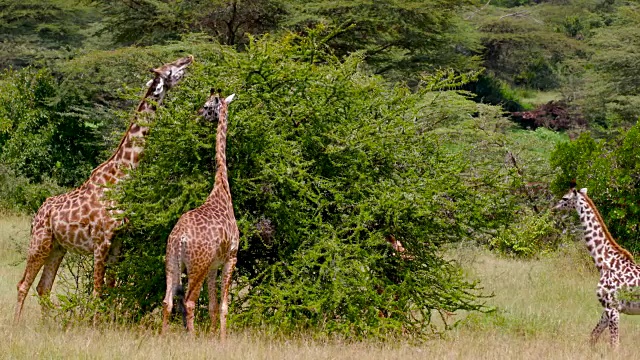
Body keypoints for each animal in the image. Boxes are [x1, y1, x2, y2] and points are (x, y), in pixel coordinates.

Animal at [13, 55, 194, 324]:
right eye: (171, 69)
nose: (189, 58)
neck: (121, 178)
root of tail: (38, 213)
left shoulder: (117, 242)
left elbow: (111, 287)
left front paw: (109, 322)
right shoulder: (101, 241)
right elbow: (98, 290)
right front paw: (95, 323)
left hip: (58, 247)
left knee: (43, 286)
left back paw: (47, 324)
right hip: (40, 241)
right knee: (23, 284)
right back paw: (16, 325)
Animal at [161, 89, 239, 340]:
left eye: (206, 107)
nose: (197, 115)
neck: (221, 188)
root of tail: (181, 238)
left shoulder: (214, 264)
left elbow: (213, 305)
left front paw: (214, 336)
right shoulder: (231, 256)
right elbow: (223, 305)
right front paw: (222, 339)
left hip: (172, 262)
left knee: (167, 301)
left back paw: (161, 337)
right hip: (197, 266)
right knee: (188, 302)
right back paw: (192, 338)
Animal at [552, 183, 640, 346]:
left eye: (565, 198)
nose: (554, 208)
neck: (604, 262)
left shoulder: (613, 308)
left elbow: (614, 345)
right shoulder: (608, 309)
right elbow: (593, 336)